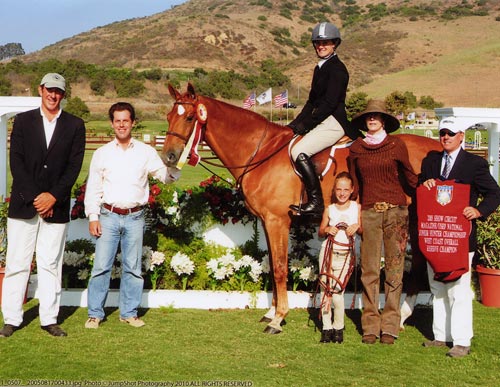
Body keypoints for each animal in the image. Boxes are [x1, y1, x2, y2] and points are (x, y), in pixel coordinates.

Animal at [162, 84, 440, 334]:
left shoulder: (277, 221)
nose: (169, 157)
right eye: (168, 117)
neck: (261, 152)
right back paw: (403, 316)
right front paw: (272, 311)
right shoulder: (267, 222)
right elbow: (274, 266)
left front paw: (278, 319)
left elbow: (280, 268)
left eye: (189, 117)